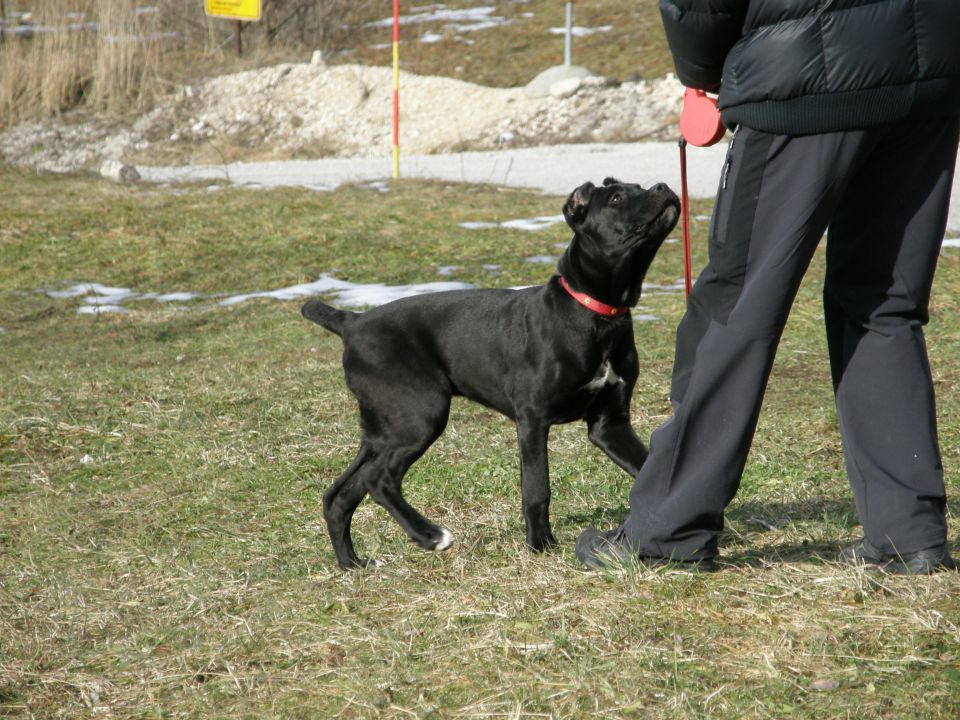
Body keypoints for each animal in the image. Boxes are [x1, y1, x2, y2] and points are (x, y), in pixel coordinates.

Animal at [304, 176, 680, 568]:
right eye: (617, 198)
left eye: (639, 186)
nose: (663, 186)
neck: (596, 313)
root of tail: (352, 323)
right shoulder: (532, 419)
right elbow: (537, 488)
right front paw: (540, 545)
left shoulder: (610, 424)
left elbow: (650, 468)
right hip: (419, 416)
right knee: (379, 480)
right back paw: (430, 536)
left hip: (383, 429)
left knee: (340, 494)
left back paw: (353, 564)